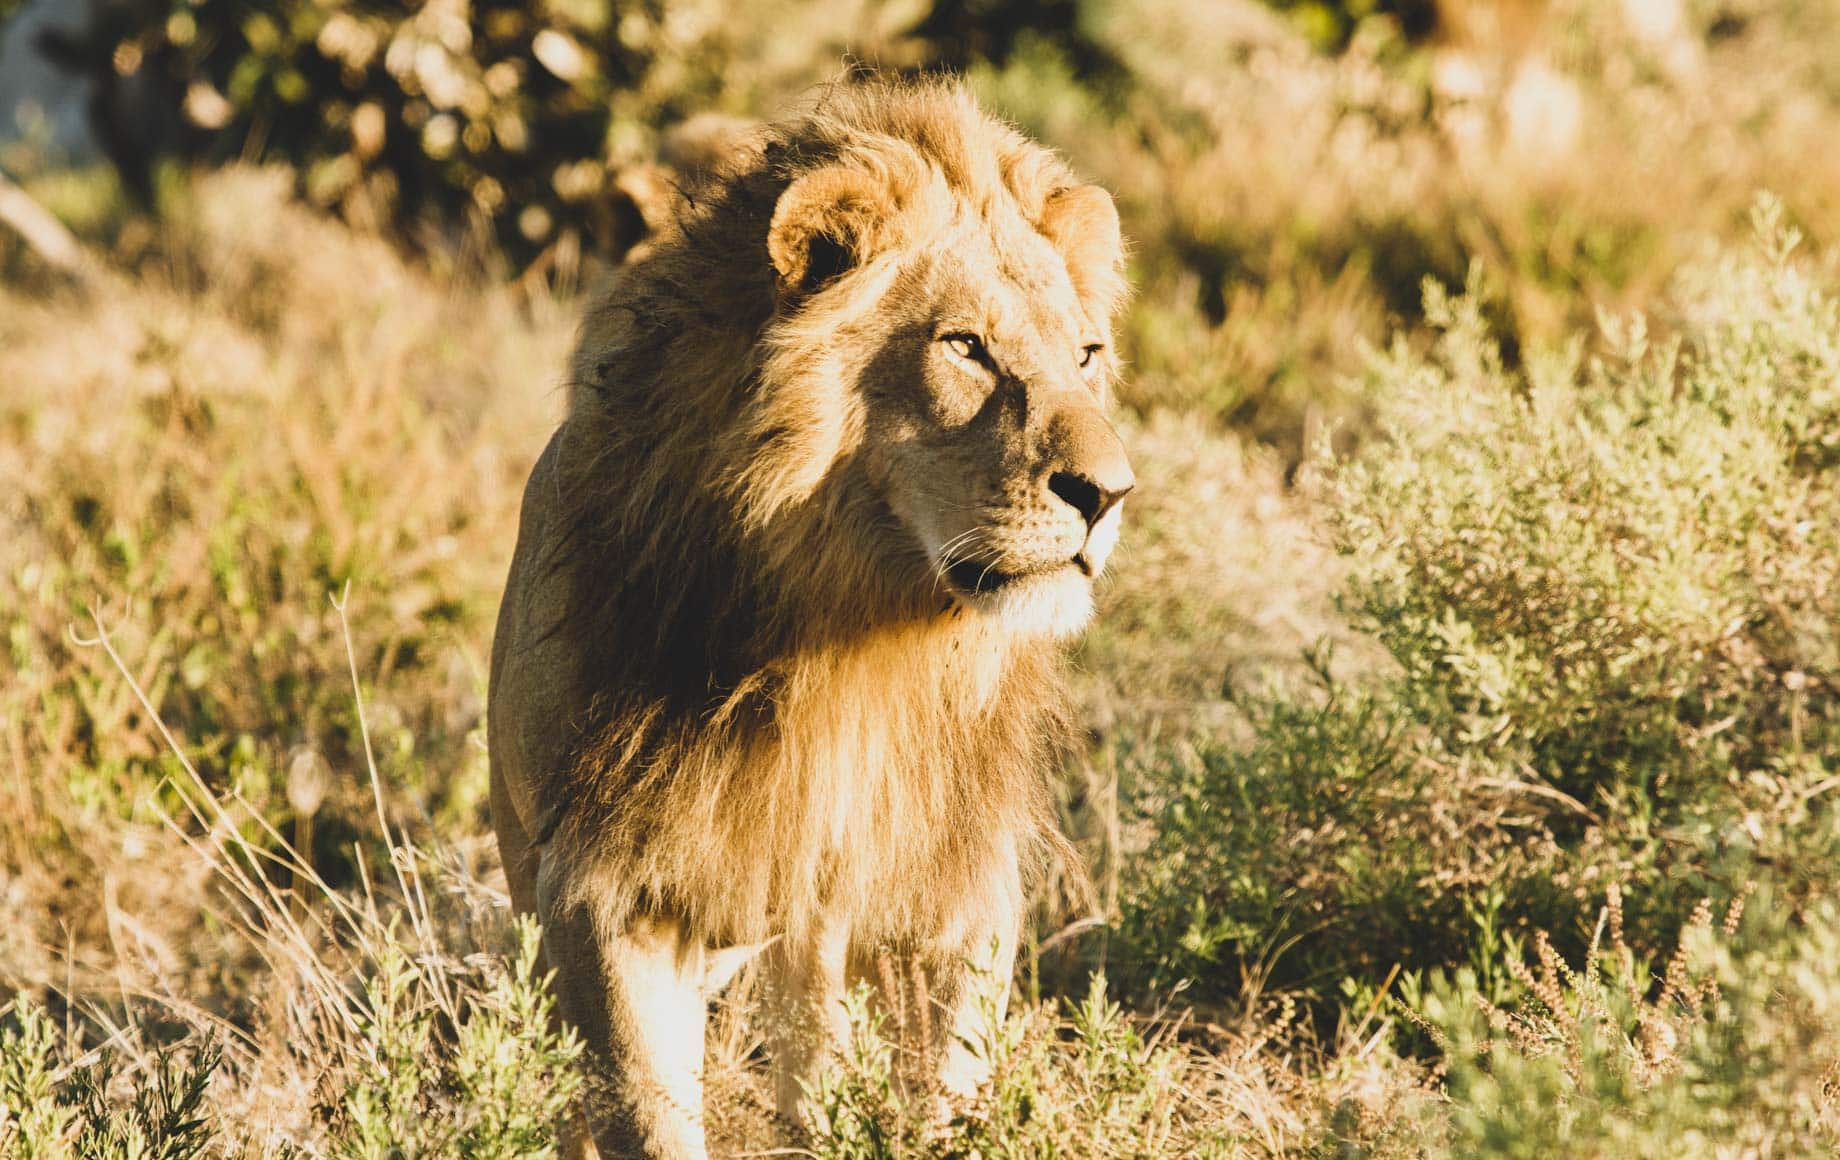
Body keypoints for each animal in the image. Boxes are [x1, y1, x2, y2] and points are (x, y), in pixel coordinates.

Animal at [482, 81, 1126, 1160]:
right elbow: (646, 1111)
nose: (1111, 494)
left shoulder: (952, 883)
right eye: (965, 346)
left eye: (1086, 355)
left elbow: (944, 1083)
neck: (854, 621)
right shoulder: (606, 890)